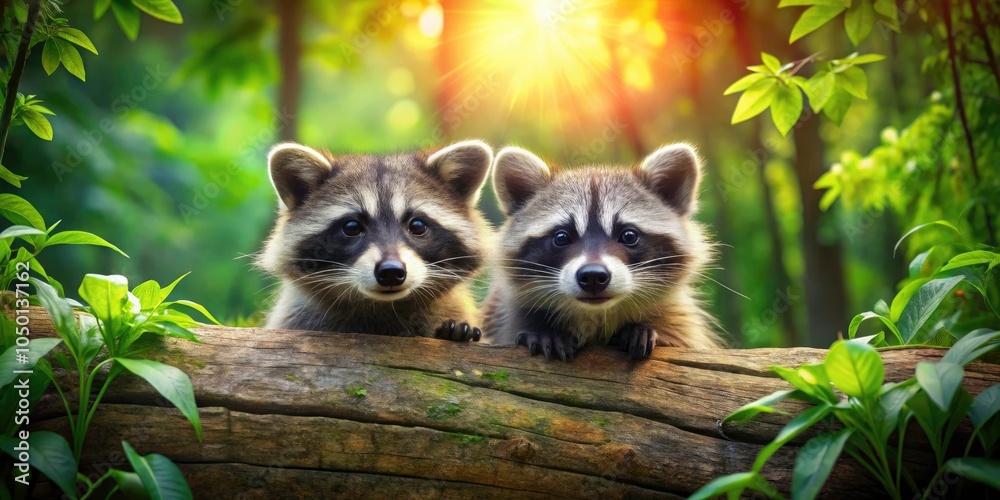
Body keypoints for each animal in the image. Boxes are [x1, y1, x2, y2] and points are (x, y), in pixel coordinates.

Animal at [481, 143, 723, 360]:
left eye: (629, 236)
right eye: (562, 237)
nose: (593, 276)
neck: (596, 313)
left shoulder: (681, 318)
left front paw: (641, 329)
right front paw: (544, 332)